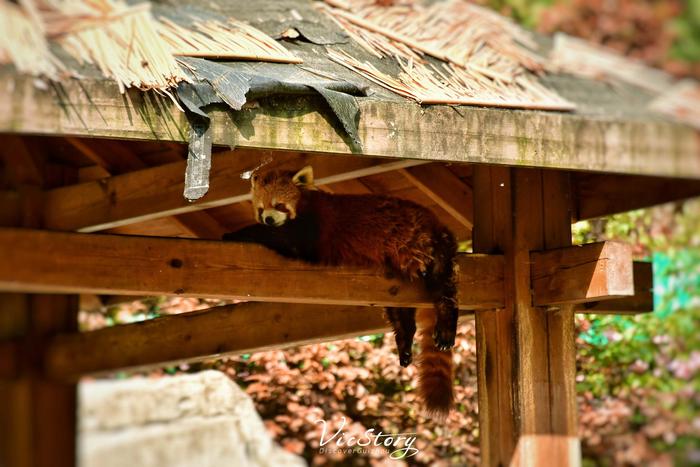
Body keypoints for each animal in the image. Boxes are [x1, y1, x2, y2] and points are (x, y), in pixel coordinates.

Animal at [224, 165, 460, 420]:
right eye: (260, 208)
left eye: (279, 205)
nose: (267, 219)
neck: (306, 204)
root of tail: (436, 222)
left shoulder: (314, 228)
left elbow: (288, 240)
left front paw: (235, 234)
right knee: (398, 307)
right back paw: (405, 338)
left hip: (427, 246)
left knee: (443, 287)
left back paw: (446, 324)